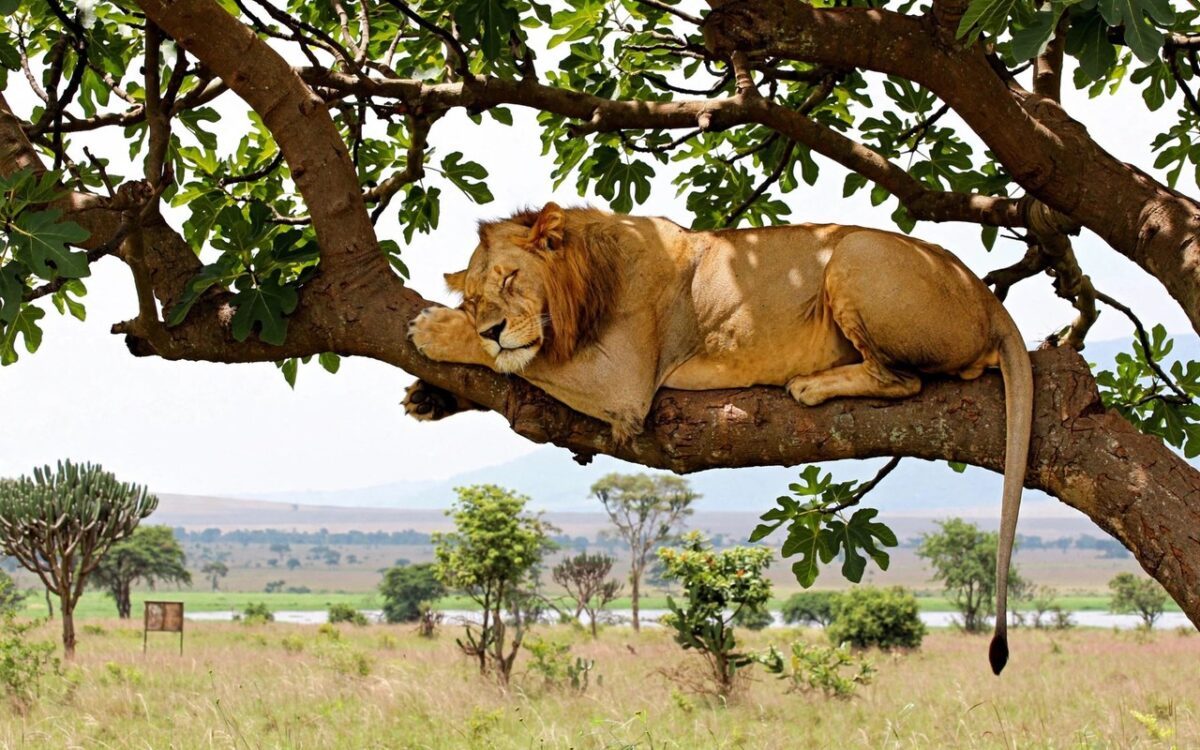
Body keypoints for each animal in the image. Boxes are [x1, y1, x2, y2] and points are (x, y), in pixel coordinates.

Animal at [405, 202, 1032, 675]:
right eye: (474, 299)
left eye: (511, 279)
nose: (490, 326)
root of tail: (987, 298)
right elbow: (511, 366)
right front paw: (430, 395)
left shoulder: (622, 381)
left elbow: (522, 361)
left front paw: (435, 330)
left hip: (854, 255)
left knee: (903, 379)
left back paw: (810, 385)